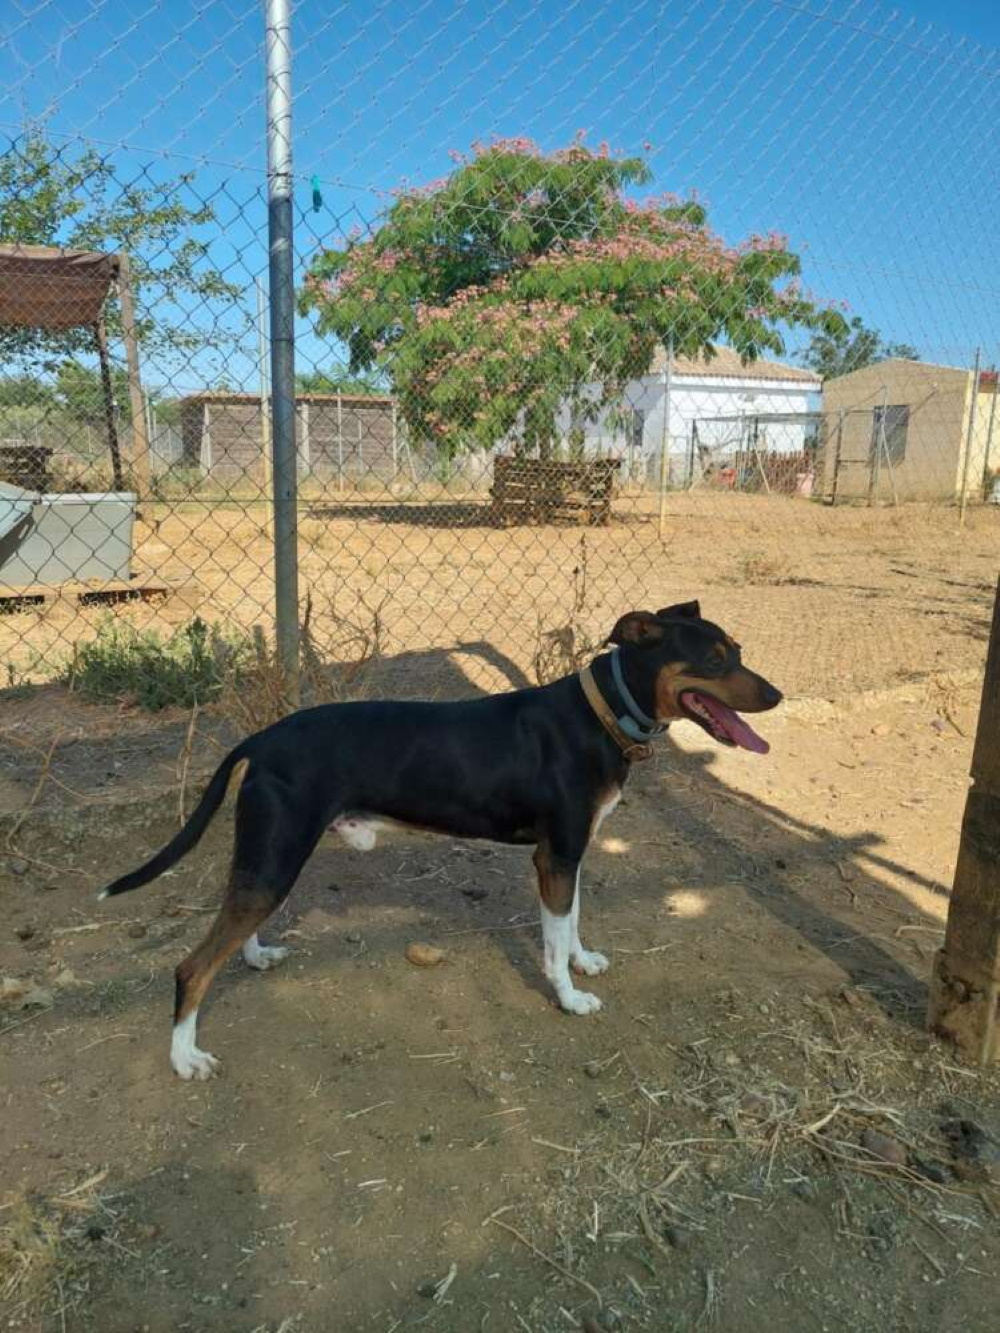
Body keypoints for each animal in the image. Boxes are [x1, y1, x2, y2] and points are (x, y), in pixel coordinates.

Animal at [99, 601, 781, 1079]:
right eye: (715, 659)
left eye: (739, 650)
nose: (776, 694)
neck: (599, 715)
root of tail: (262, 739)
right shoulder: (554, 857)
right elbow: (552, 944)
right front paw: (569, 997)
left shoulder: (573, 855)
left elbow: (572, 925)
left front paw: (584, 961)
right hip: (277, 857)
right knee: (192, 967)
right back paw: (184, 1057)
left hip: (272, 857)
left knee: (237, 928)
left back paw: (257, 956)